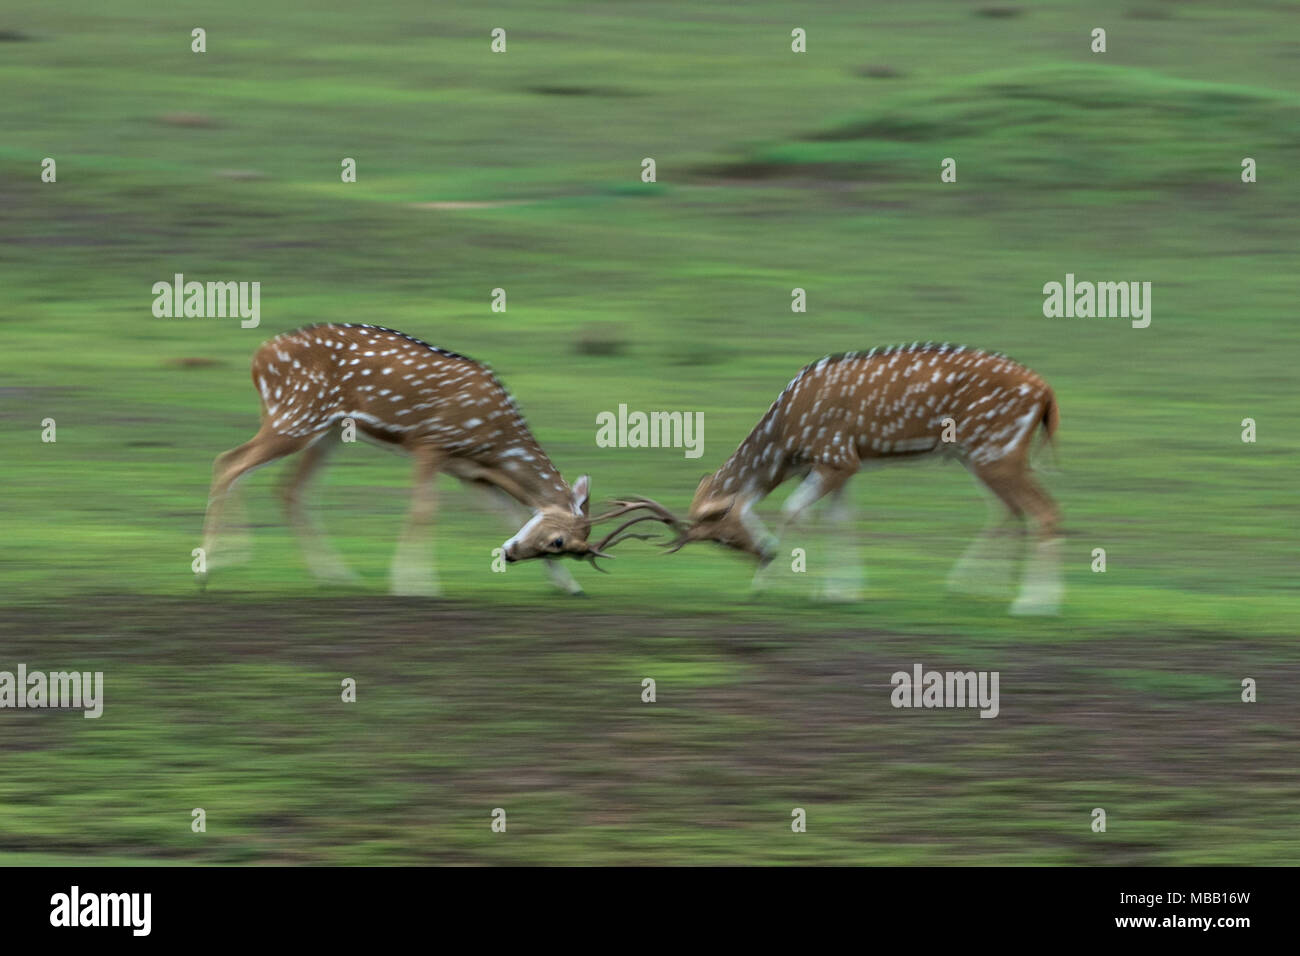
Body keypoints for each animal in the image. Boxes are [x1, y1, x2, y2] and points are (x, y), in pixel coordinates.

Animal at [200, 323, 681, 590]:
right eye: (561, 542)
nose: (509, 556)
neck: (494, 444)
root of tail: (258, 357)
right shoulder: (430, 444)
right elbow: (423, 510)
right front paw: (415, 585)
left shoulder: (469, 473)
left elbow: (507, 514)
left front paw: (570, 588)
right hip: (298, 413)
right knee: (228, 462)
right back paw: (215, 565)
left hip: (328, 431)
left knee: (287, 488)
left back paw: (334, 576)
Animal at [624, 343, 1060, 613]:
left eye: (722, 536)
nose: (766, 553)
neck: (786, 440)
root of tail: (1047, 392)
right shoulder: (843, 462)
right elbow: (839, 519)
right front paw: (842, 591)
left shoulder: (836, 456)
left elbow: (795, 509)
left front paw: (783, 587)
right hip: (978, 455)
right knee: (1010, 510)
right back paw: (977, 589)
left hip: (997, 451)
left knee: (1043, 512)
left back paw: (1031, 604)